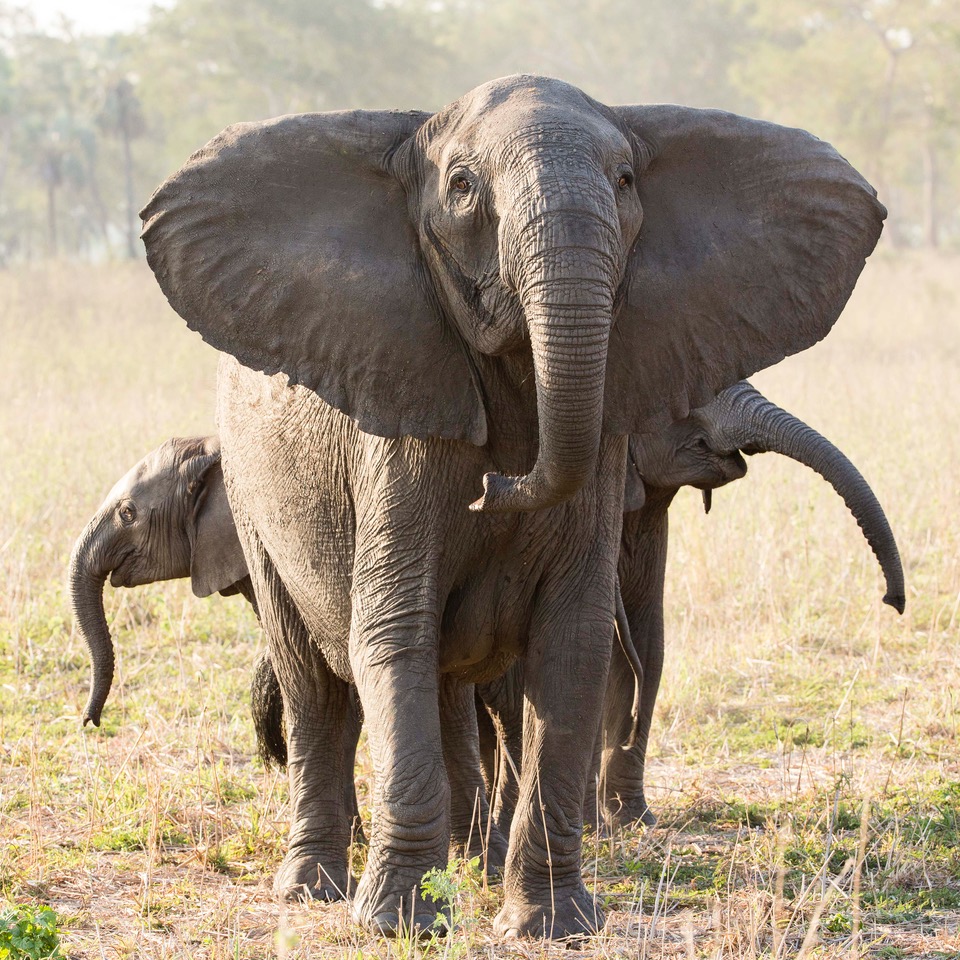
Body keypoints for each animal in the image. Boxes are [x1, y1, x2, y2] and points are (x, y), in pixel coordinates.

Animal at [135, 75, 885, 937]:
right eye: (462, 188)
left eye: (626, 181)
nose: (496, 487)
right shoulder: (398, 438)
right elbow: (393, 633)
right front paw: (397, 924)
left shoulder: (605, 451)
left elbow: (574, 648)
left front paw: (550, 926)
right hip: (253, 504)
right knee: (315, 688)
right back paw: (313, 888)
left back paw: (468, 863)